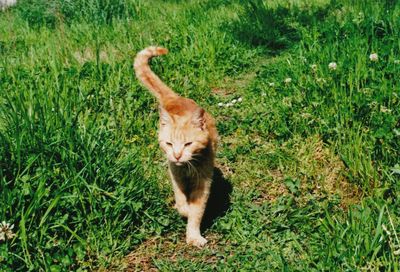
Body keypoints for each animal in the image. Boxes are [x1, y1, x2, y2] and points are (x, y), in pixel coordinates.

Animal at [134, 46, 217, 246]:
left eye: (188, 144)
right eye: (169, 144)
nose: (177, 155)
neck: (187, 168)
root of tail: (175, 98)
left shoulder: (203, 183)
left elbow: (196, 211)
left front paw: (193, 236)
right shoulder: (175, 176)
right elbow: (181, 202)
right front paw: (184, 210)